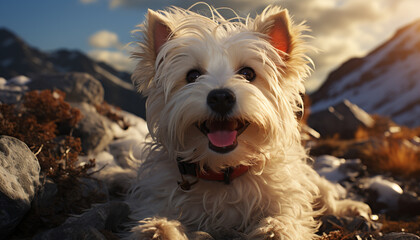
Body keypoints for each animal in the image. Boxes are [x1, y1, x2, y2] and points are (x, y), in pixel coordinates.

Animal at [125, 4, 370, 239]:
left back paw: (351, 208)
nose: (220, 97)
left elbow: (286, 219)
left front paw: (274, 230)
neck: (224, 171)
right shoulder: (158, 198)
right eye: (192, 76)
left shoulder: (288, 200)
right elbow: (160, 218)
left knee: (328, 198)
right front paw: (157, 230)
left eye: (248, 73)